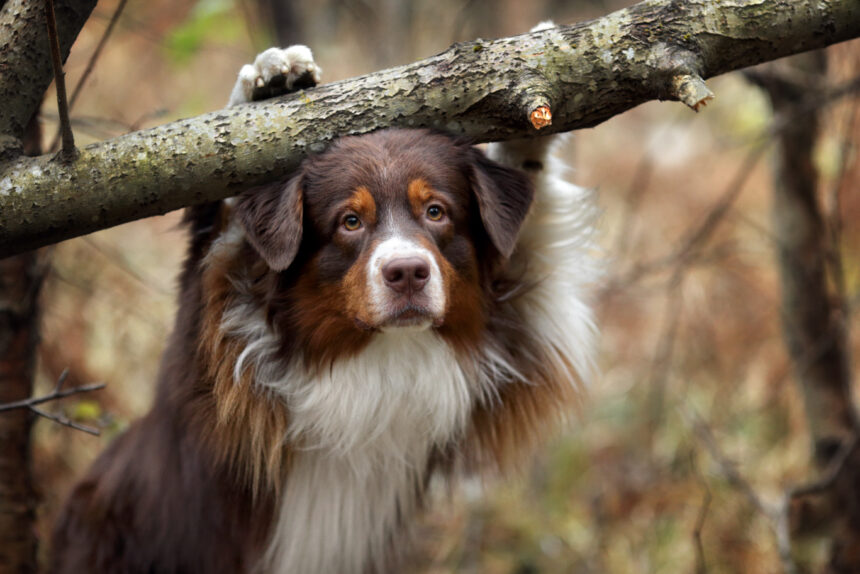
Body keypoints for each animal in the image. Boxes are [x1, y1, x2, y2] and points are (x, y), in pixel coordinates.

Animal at [48, 41, 596, 574]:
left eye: (436, 212)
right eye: (350, 221)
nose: (408, 273)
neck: (378, 351)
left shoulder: (517, 331)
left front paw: (541, 71)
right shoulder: (209, 354)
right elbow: (216, 217)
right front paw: (267, 83)